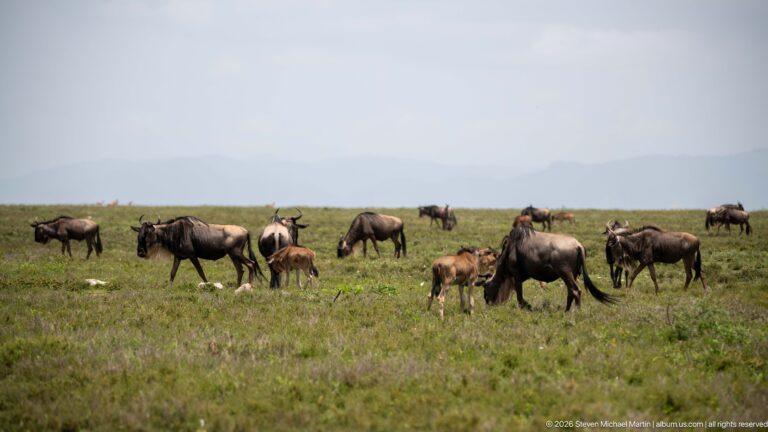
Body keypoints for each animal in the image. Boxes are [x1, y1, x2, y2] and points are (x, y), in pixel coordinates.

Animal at [131, 215, 264, 287]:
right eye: (139, 234)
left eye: (148, 233)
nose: (140, 253)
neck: (174, 231)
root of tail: (246, 231)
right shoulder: (178, 257)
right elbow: (172, 273)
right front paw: (169, 288)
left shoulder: (192, 255)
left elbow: (201, 272)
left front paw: (208, 286)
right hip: (233, 255)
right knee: (240, 269)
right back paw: (237, 287)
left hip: (236, 253)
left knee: (250, 264)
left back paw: (250, 286)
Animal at [479, 224, 618, 311]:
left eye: (485, 288)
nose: (488, 304)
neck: (511, 249)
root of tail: (578, 245)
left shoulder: (516, 275)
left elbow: (520, 296)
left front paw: (526, 307)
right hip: (572, 275)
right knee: (570, 292)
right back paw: (566, 311)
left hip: (565, 273)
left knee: (575, 290)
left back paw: (576, 312)